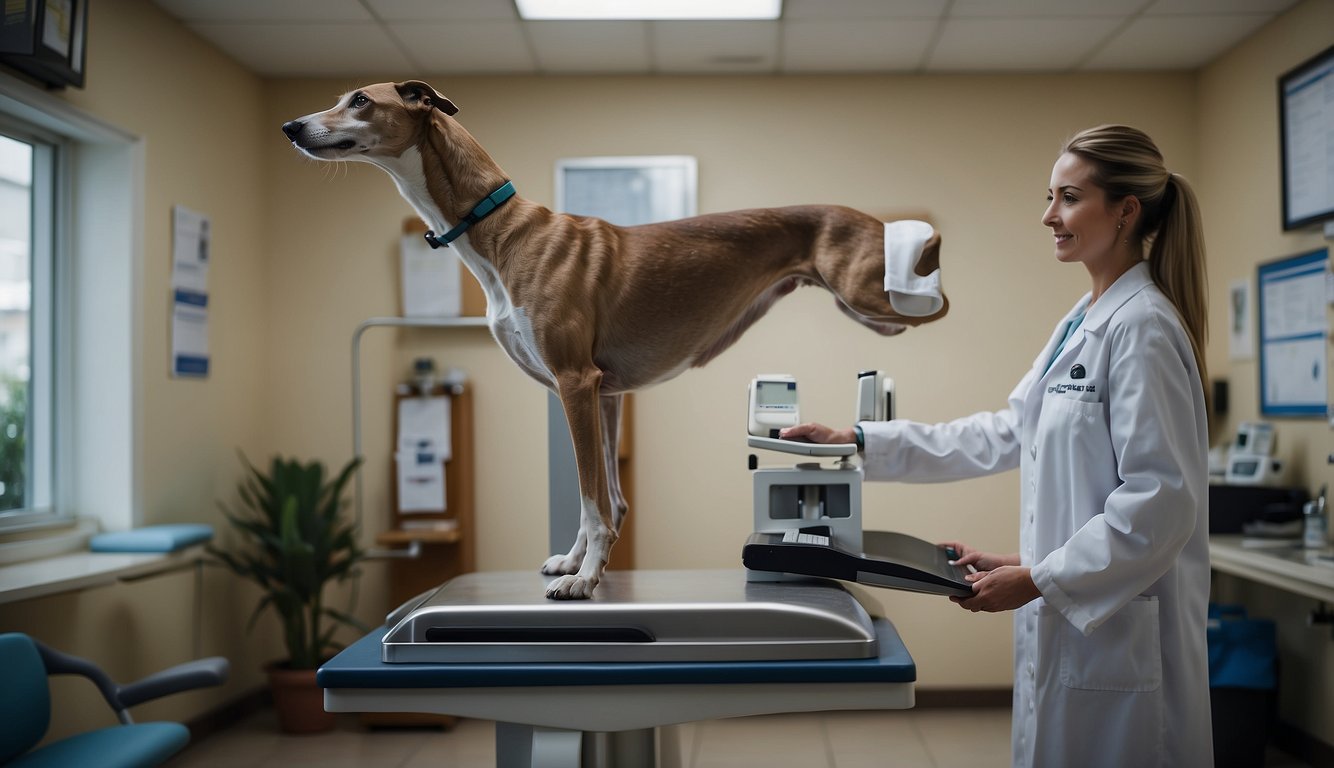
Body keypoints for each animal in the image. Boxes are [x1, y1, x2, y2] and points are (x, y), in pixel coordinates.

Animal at [284, 82, 949, 600]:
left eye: (361, 100)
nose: (291, 126)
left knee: (938, 293)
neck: (499, 229)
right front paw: (579, 563)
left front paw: (583, 580)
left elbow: (593, 499)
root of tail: (864, 218)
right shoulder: (603, 395)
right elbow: (604, 498)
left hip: (877, 302)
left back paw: (915, 241)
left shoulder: (576, 383)